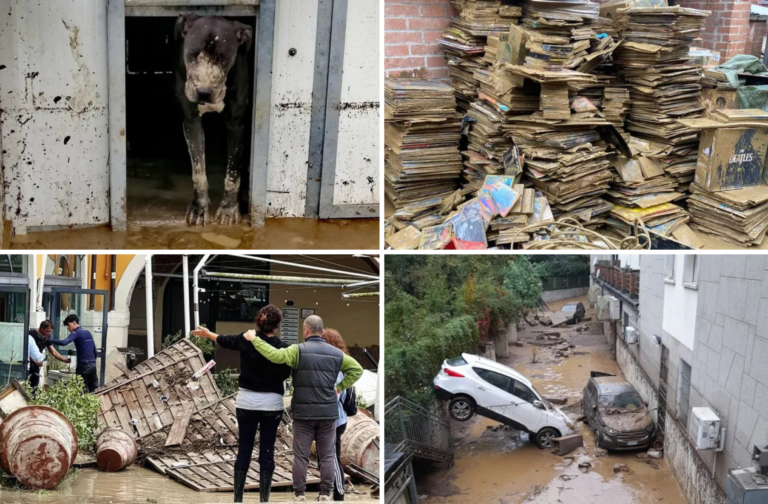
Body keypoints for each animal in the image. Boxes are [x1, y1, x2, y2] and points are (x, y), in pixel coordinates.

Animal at [176, 14, 254, 225]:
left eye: (223, 59)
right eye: (193, 54)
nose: (204, 92)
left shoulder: (236, 124)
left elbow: (233, 172)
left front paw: (228, 209)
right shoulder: (192, 122)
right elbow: (198, 171)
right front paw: (199, 208)